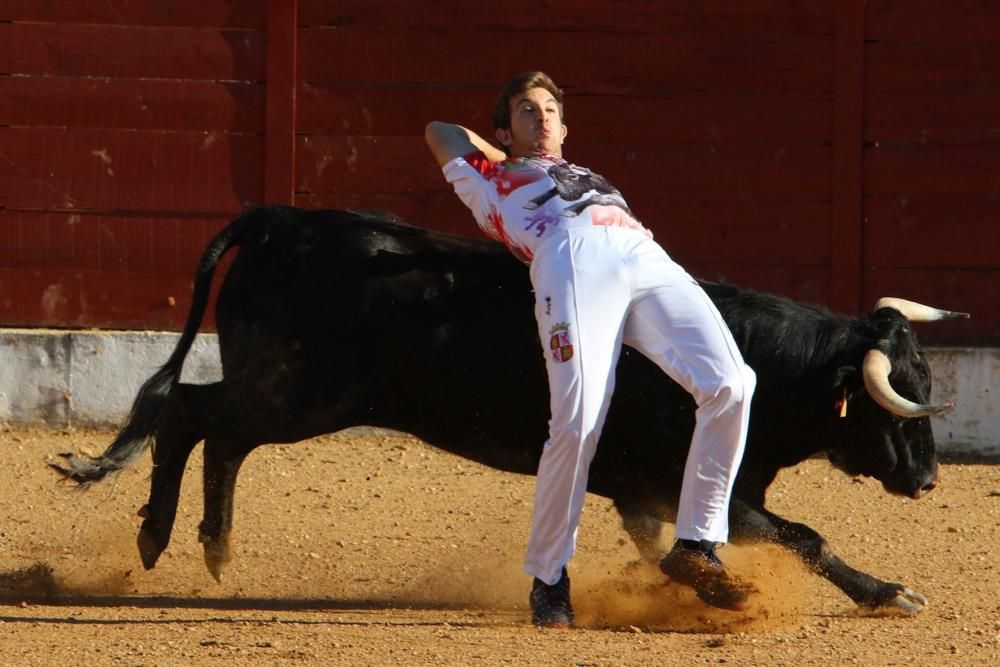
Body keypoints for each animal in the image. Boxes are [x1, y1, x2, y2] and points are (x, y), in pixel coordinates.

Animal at [50, 205, 964, 616]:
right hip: (298, 393)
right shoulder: (702, 485)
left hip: (290, 394)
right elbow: (804, 535)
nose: (927, 480)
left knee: (216, 428)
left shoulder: (648, 489)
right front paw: (889, 591)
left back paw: (214, 544)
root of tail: (283, 221)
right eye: (896, 406)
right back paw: (160, 537)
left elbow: (666, 541)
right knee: (192, 416)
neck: (762, 366)